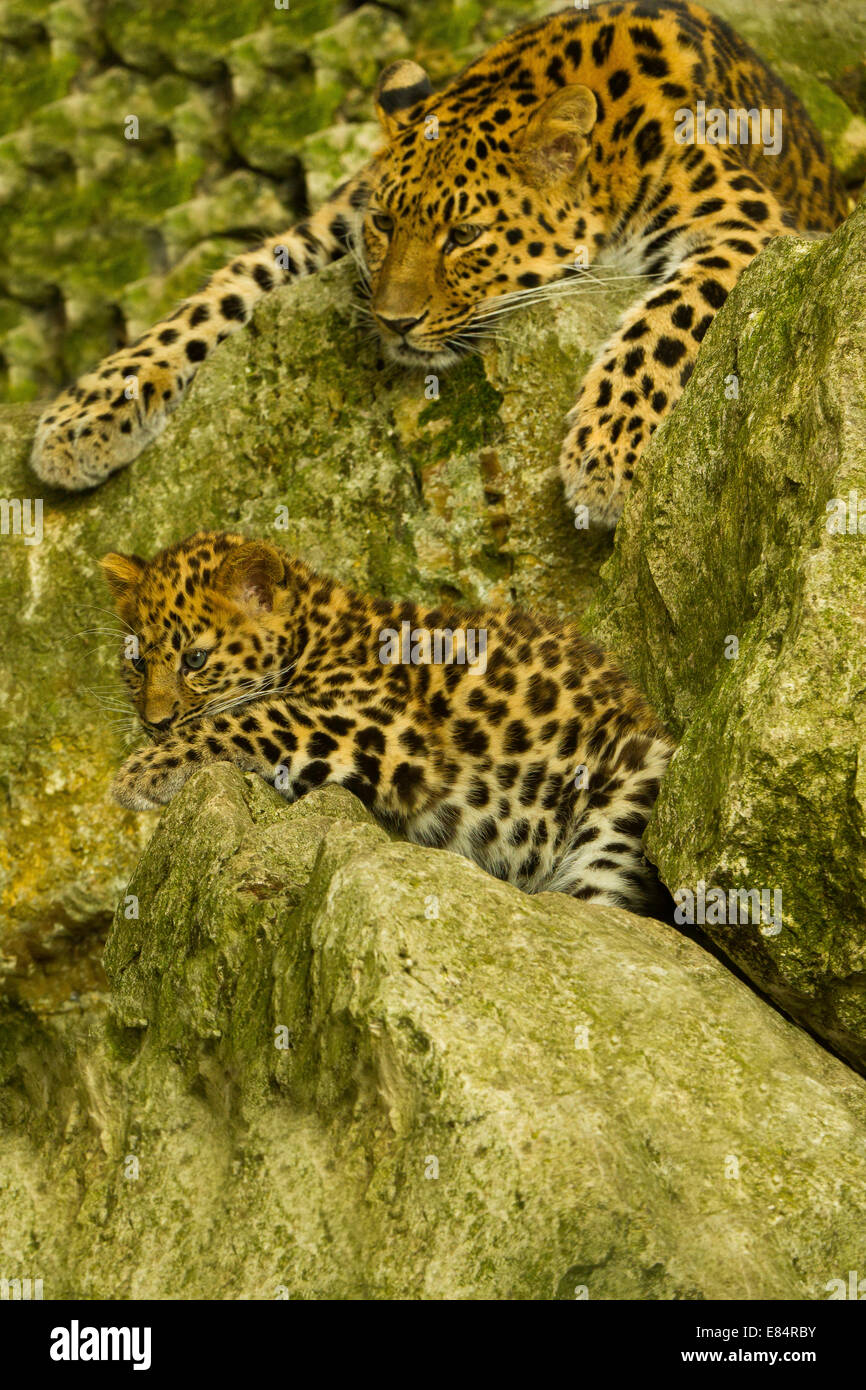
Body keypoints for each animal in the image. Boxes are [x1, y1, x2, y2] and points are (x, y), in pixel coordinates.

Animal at [30, 0, 847, 527]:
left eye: (465, 235)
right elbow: (225, 286)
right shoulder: (335, 217)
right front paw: (88, 413)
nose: (394, 322)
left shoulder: (754, 224)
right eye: (388, 224)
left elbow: (666, 321)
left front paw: (604, 458)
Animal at [101, 531, 674, 914]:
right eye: (137, 662)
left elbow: (255, 716)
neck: (315, 632)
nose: (154, 722)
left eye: (195, 660)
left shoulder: (387, 726)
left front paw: (143, 771)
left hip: (627, 791)